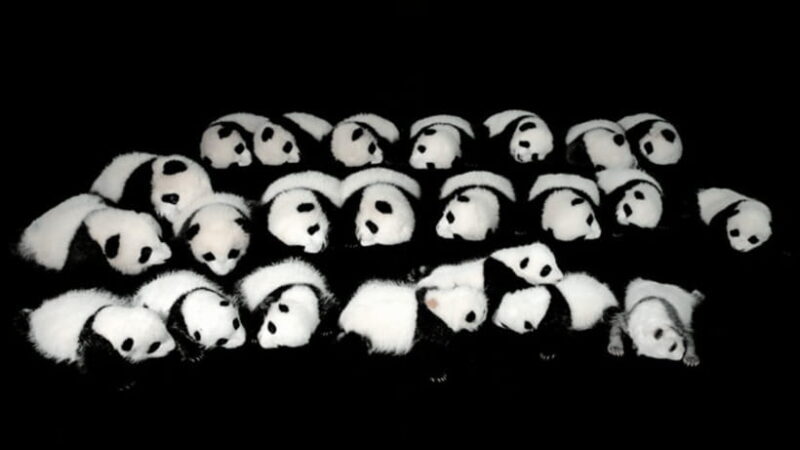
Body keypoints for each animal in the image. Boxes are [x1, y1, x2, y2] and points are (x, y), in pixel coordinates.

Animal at [22, 289, 175, 377]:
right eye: (154, 346)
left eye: (166, 330)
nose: (172, 349)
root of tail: (35, 315)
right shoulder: (94, 344)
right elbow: (99, 365)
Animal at [337, 279, 488, 382]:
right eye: (471, 316)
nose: (485, 311)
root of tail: (345, 315)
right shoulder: (426, 329)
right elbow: (428, 353)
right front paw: (438, 375)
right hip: (361, 333)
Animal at [488, 273, 618, 360]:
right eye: (499, 306)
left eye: (504, 325)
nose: (493, 319)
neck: (536, 302)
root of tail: (610, 294)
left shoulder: (555, 315)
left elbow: (557, 332)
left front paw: (547, 353)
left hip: (604, 308)